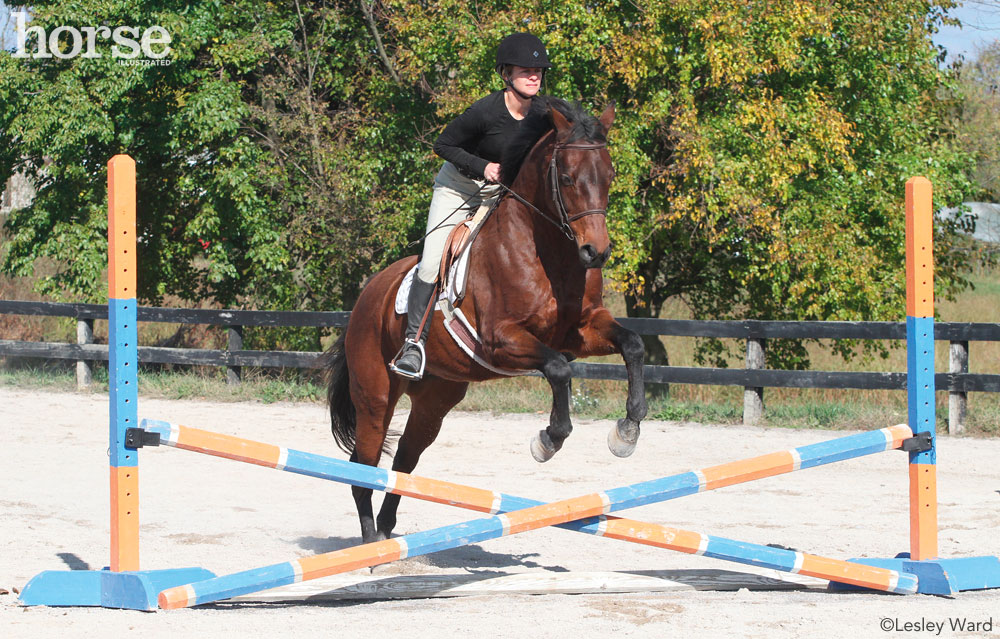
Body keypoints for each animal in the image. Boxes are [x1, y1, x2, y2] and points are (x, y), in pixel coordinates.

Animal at [322, 96, 648, 544]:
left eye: (609, 175)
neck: (546, 251)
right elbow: (559, 370)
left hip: (436, 396)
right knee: (364, 465)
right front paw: (548, 440)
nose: (595, 252)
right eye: (566, 178)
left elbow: (632, 344)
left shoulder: (580, 330)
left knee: (404, 459)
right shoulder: (501, 340)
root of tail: (368, 295)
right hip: (375, 394)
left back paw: (388, 535)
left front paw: (627, 431)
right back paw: (371, 543)